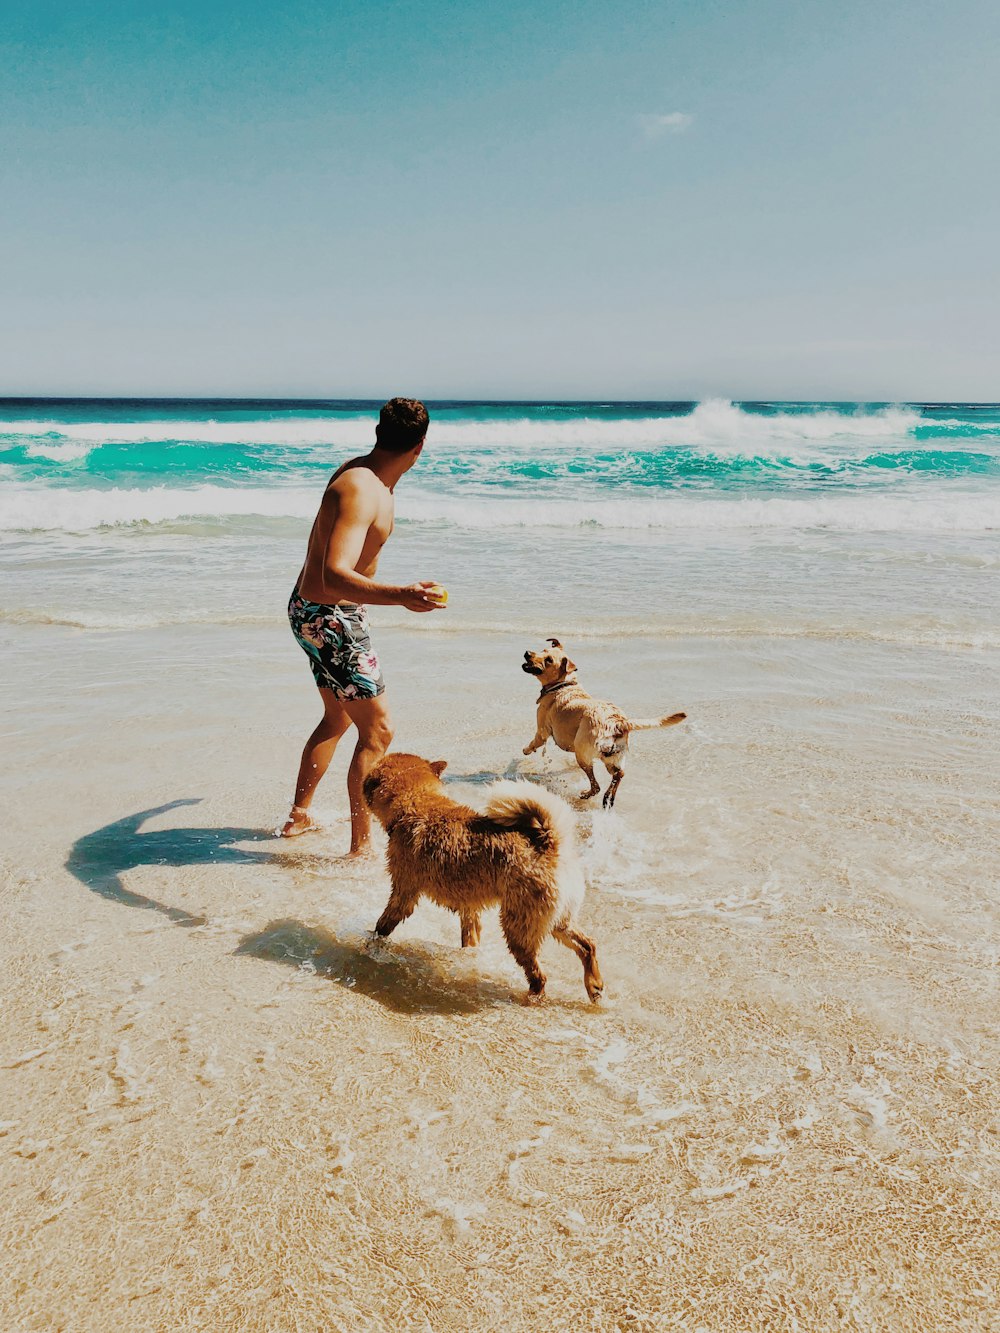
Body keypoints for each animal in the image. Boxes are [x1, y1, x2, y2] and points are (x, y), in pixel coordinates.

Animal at [365, 757, 608, 1002]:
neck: (418, 804)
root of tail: (550, 844)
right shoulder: (469, 907)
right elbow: (470, 937)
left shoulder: (404, 893)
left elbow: (383, 925)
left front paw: (372, 944)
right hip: (557, 921)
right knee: (588, 946)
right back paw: (594, 985)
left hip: (519, 928)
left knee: (540, 977)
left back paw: (531, 997)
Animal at [520, 639, 688, 805]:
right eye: (543, 650)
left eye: (548, 660)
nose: (527, 653)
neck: (563, 685)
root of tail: (618, 722)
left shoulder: (542, 731)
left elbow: (534, 742)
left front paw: (525, 750)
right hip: (612, 757)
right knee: (619, 774)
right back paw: (609, 796)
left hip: (583, 754)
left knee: (596, 785)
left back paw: (587, 794)